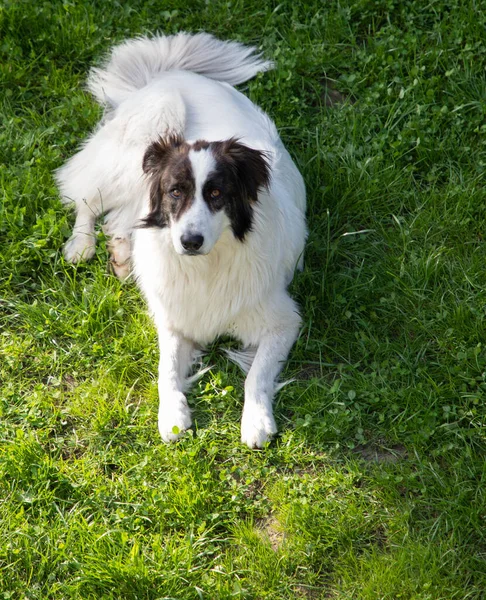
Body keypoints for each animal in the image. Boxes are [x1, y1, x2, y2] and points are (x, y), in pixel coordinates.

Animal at [56, 31, 308, 446]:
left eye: (217, 194)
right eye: (176, 191)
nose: (190, 241)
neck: (208, 264)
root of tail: (171, 73)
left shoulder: (282, 320)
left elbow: (256, 374)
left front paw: (256, 421)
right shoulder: (173, 318)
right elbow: (166, 369)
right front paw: (172, 415)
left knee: (121, 217)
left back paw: (123, 255)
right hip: (146, 133)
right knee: (88, 197)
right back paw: (82, 245)